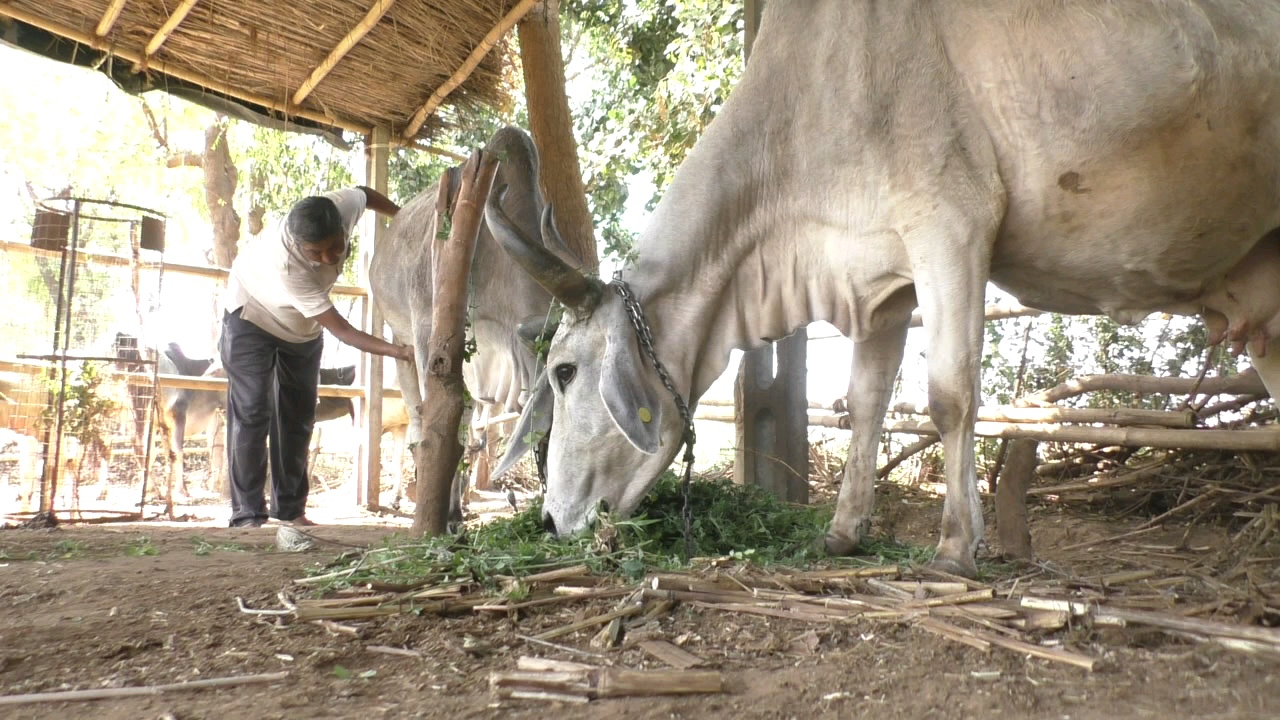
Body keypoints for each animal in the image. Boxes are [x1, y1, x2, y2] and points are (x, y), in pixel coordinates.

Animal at [494, 0, 1280, 571]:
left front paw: (957, 546)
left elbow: (951, 397)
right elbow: (866, 404)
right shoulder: (881, 284)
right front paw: (843, 531)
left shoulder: (951, 225)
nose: (549, 520)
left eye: (564, 372)